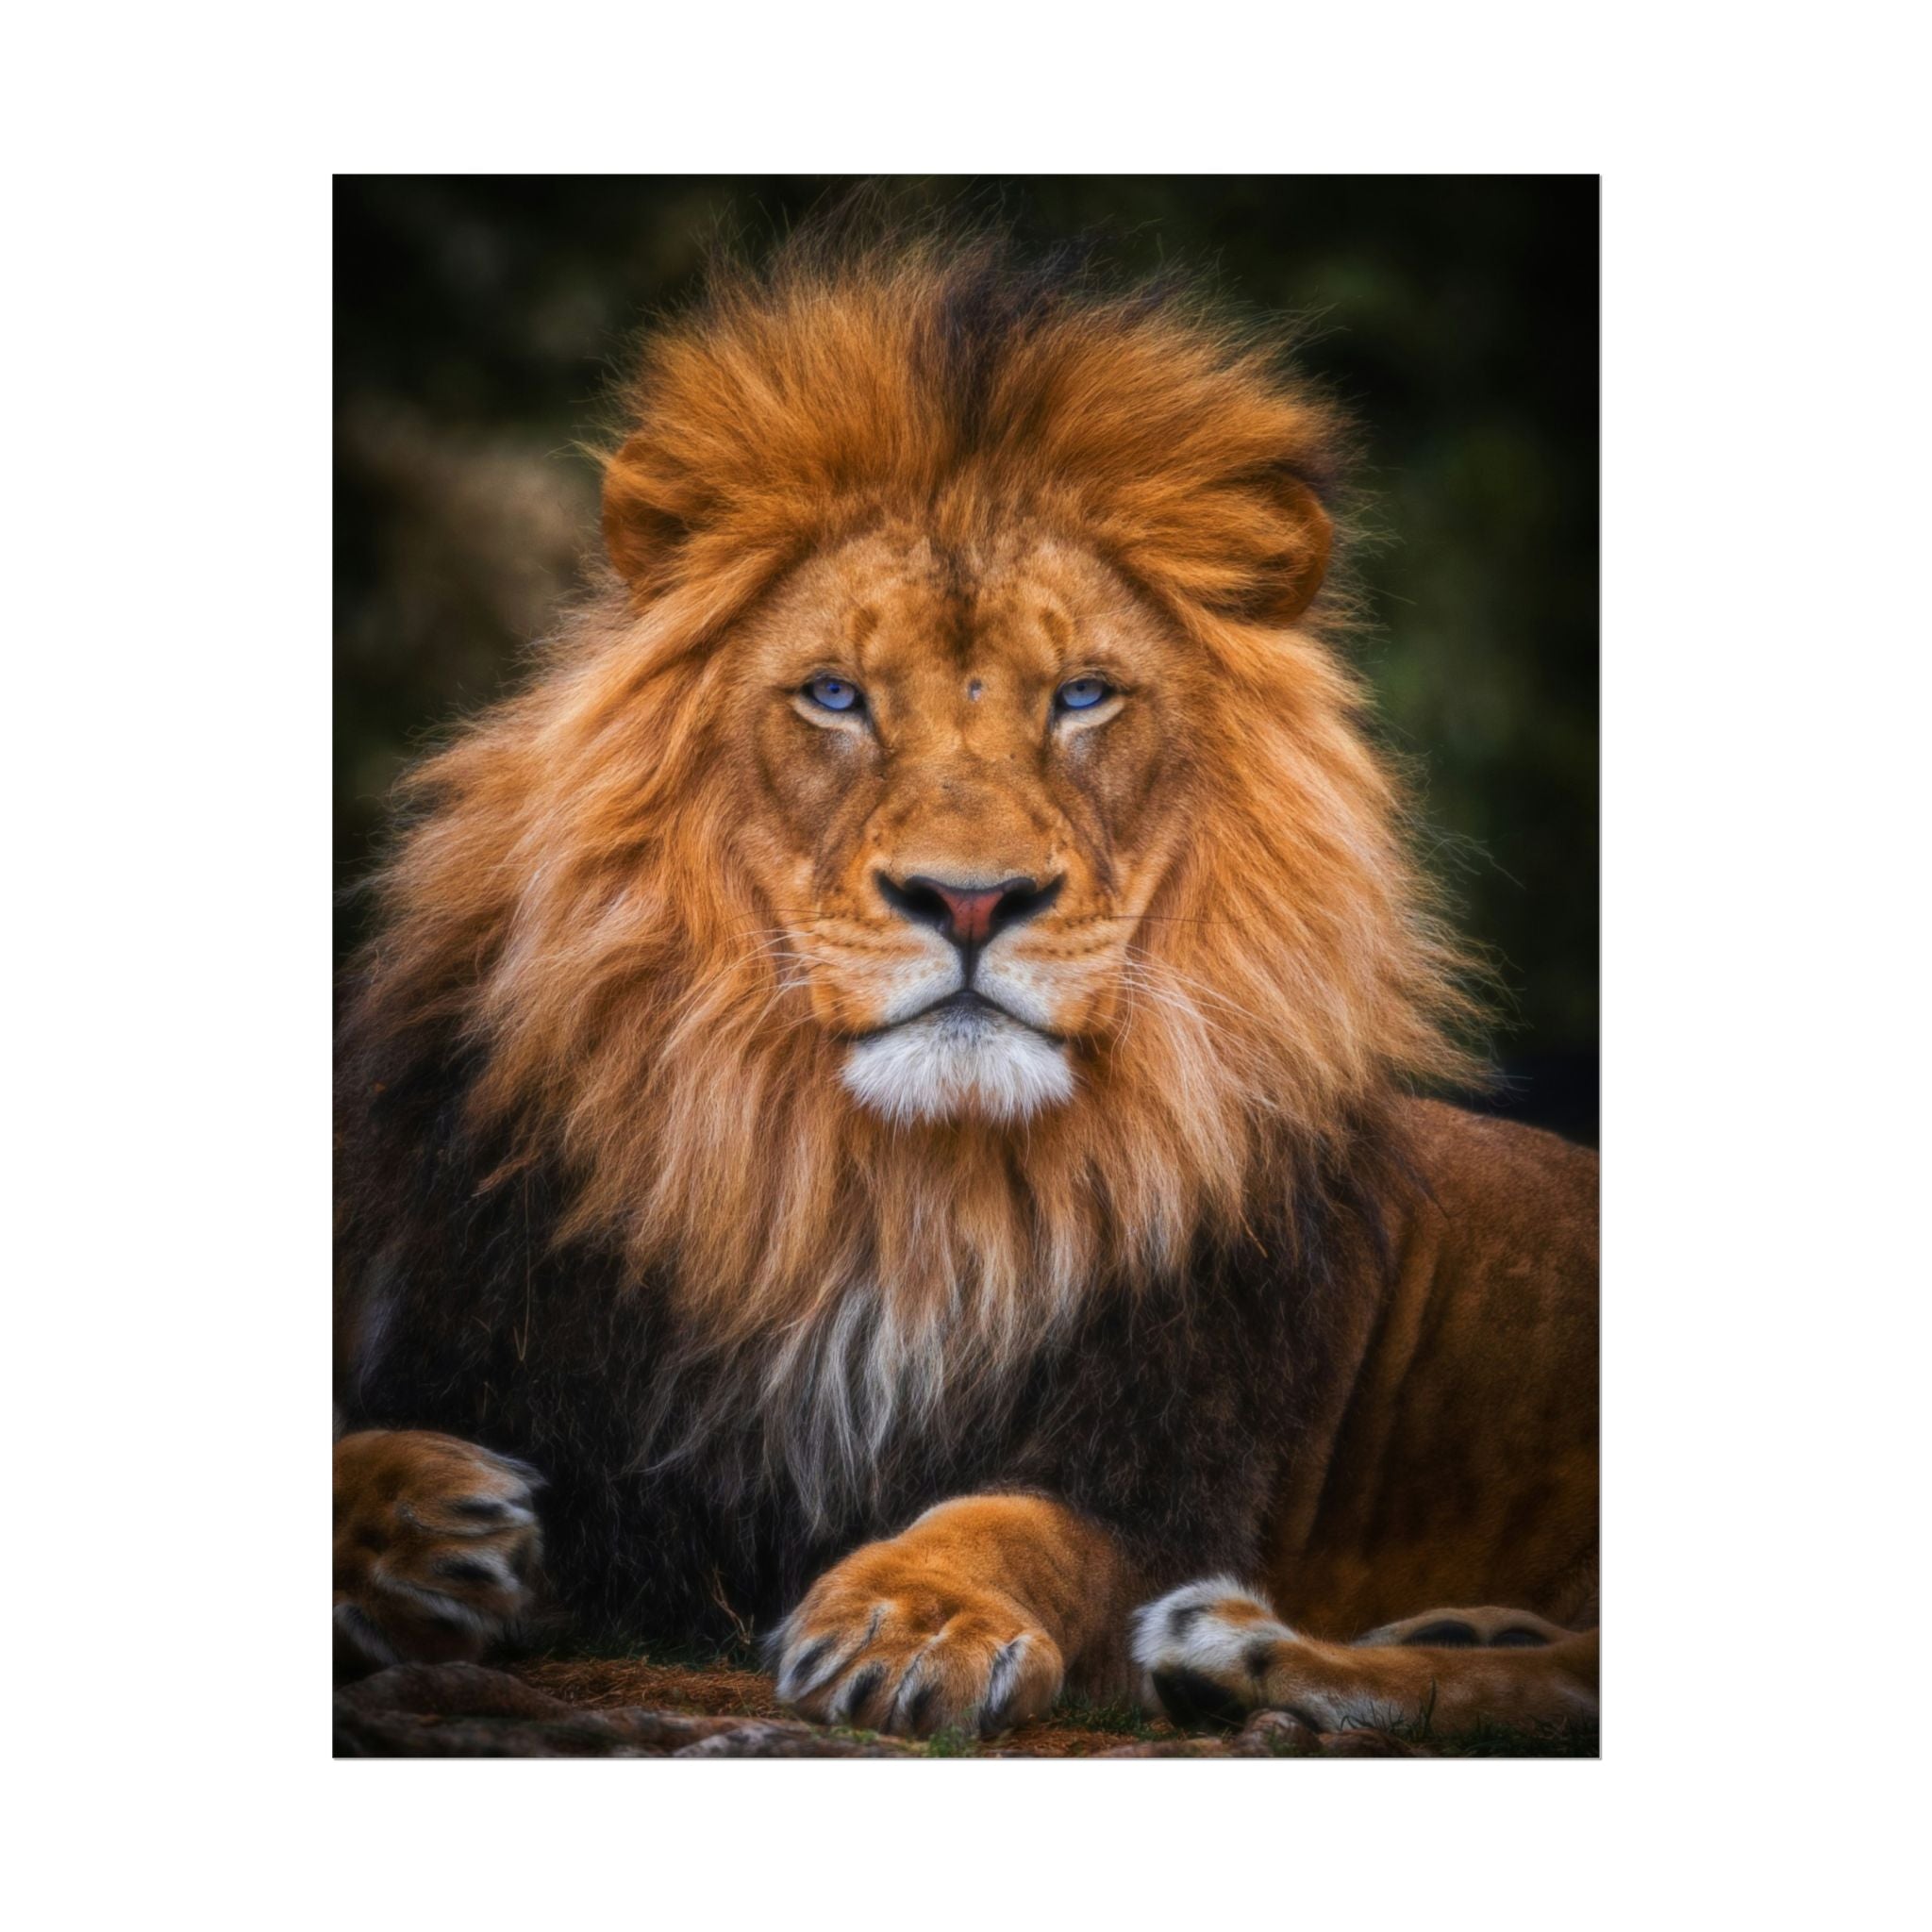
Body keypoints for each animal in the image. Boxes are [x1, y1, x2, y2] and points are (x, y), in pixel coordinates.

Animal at [334, 227, 1599, 1744]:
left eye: (1083, 696)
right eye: (833, 695)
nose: (972, 899)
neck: (884, 1196)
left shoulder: (1166, 1467)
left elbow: (1018, 1523)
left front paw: (911, 1616)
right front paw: (422, 1521)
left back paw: (1243, 1650)